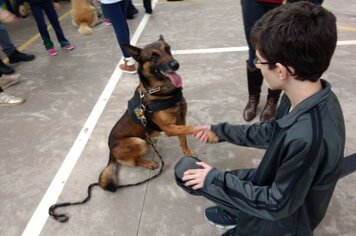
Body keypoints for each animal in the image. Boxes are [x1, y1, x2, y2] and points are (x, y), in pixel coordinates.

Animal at [98, 36, 197, 193]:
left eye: (168, 49)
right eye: (153, 56)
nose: (175, 65)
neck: (162, 92)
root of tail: (110, 151)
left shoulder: (181, 119)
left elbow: (183, 138)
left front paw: (187, 151)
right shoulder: (169, 128)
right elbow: (190, 129)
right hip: (139, 142)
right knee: (133, 161)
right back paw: (148, 163)